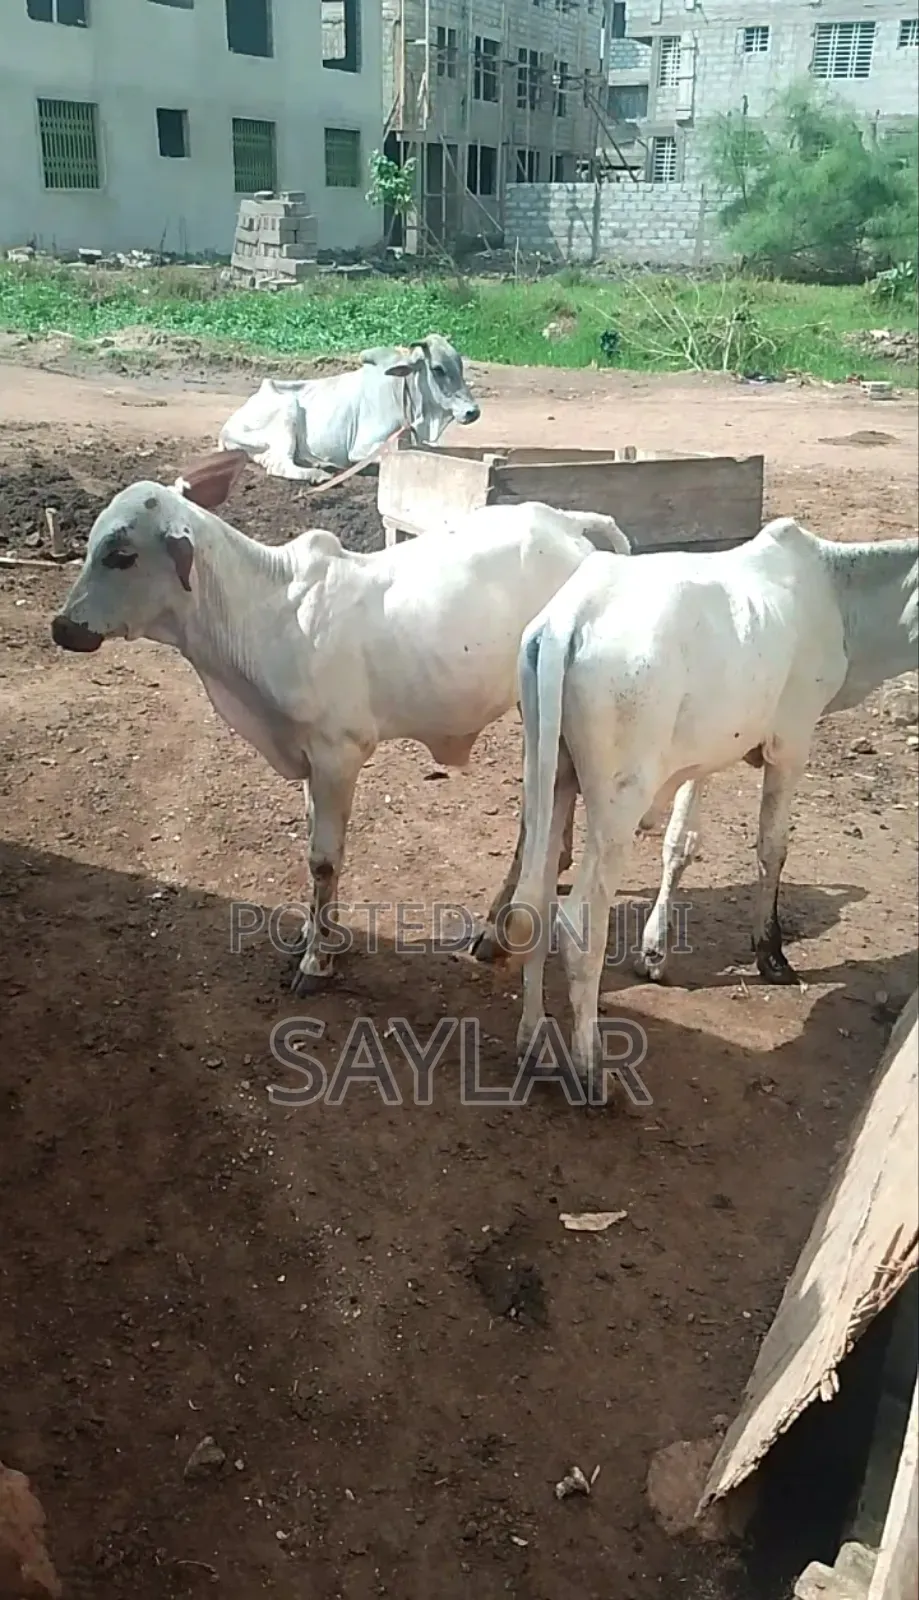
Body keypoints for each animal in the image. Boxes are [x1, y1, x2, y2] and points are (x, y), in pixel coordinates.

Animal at [217, 333, 480, 483]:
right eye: (437, 369)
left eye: (460, 364)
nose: (473, 412)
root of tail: (228, 426)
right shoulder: (363, 448)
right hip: (286, 415)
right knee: (279, 464)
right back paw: (318, 475)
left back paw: (322, 464)